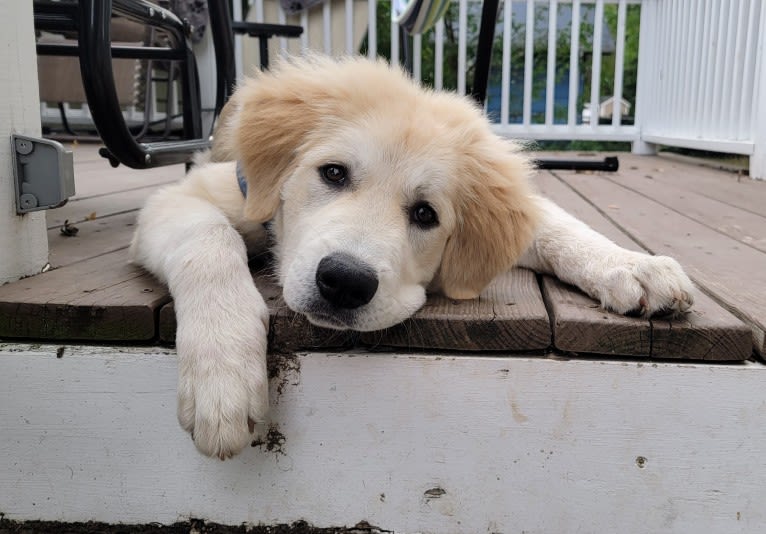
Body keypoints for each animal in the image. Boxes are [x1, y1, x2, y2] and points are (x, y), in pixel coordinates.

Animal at [130, 54, 696, 460]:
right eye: (333, 173)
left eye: (425, 214)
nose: (344, 282)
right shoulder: (185, 198)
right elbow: (208, 239)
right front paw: (221, 379)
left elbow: (562, 225)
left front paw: (633, 264)